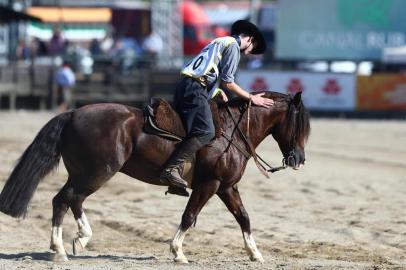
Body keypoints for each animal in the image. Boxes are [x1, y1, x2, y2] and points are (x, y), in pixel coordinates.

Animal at [0, 92, 310, 262]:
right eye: (300, 123)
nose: (299, 159)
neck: (231, 132)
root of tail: (73, 113)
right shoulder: (209, 185)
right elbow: (189, 216)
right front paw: (178, 252)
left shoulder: (226, 187)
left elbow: (243, 217)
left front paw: (255, 253)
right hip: (96, 173)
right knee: (64, 200)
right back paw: (61, 248)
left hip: (83, 173)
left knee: (69, 200)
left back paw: (79, 240)